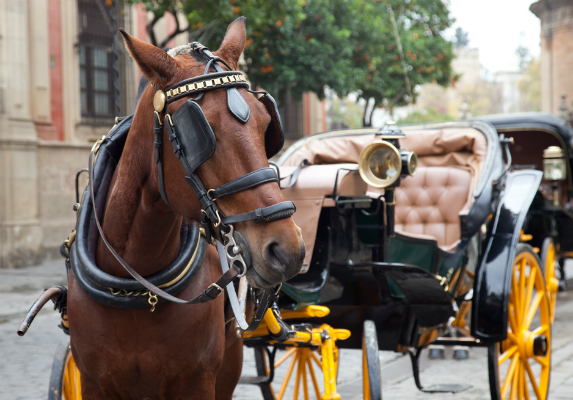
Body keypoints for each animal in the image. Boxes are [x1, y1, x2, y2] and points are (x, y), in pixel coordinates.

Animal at [66, 17, 304, 398]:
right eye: (200, 132)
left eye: (268, 125)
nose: (286, 249)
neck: (139, 288)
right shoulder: (92, 382)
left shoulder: (198, 381)